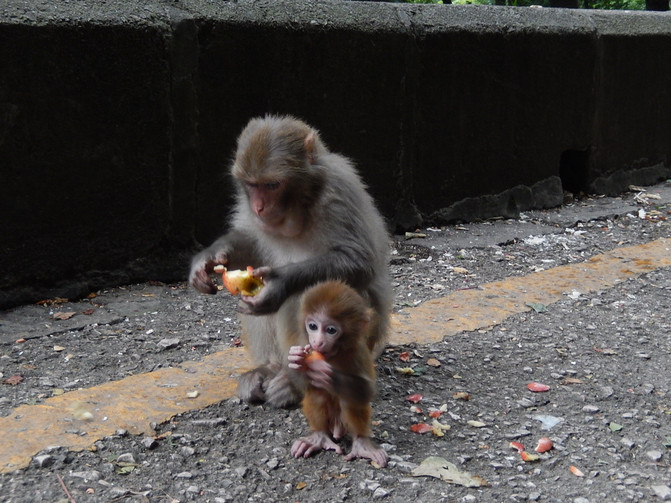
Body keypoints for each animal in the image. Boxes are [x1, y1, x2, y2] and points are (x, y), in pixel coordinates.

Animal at [189, 115, 394, 410]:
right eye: (252, 185)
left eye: (272, 185)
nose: (259, 207)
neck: (300, 206)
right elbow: (251, 242)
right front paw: (209, 258)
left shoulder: (338, 192)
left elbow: (359, 261)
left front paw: (280, 282)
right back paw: (269, 368)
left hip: (362, 339)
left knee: (302, 296)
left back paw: (295, 383)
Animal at [288, 282, 388, 466]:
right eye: (313, 326)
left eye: (331, 330)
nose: (318, 341)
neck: (334, 353)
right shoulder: (305, 342)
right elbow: (303, 386)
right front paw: (295, 359)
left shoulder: (358, 352)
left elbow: (367, 391)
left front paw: (330, 376)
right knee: (317, 392)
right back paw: (318, 437)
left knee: (349, 400)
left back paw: (361, 444)